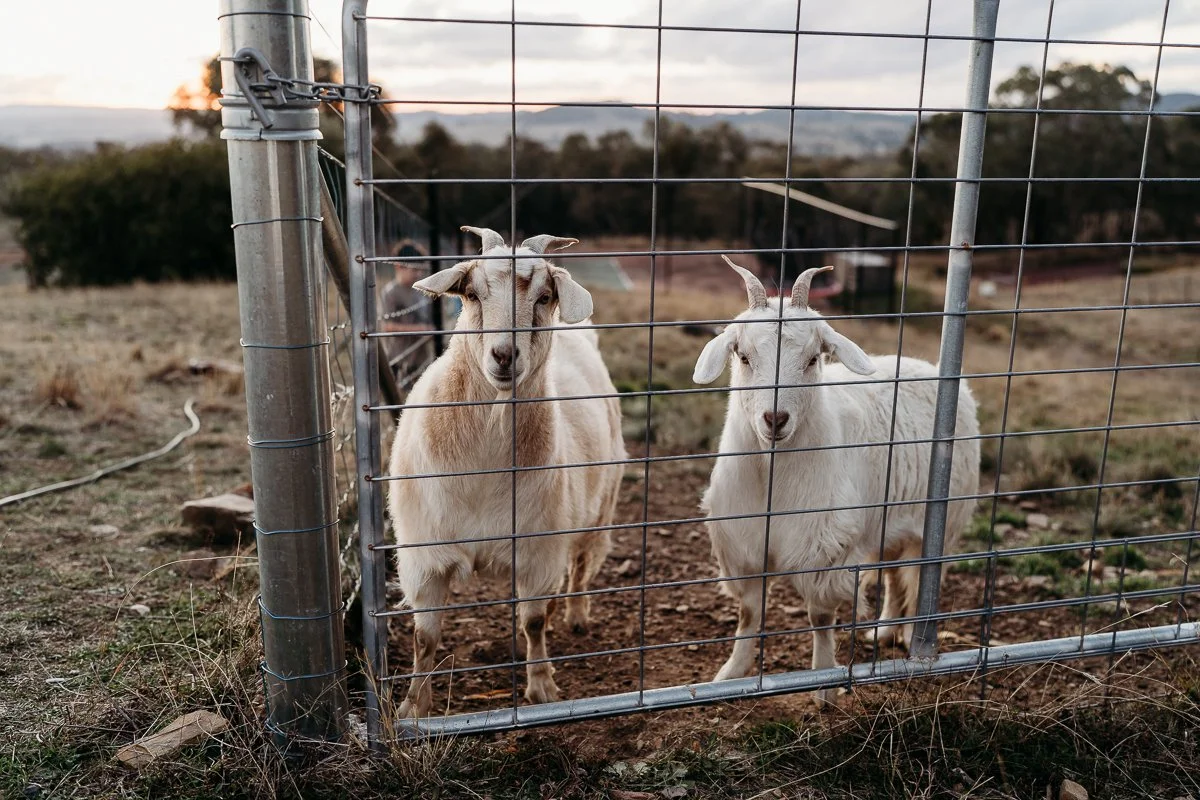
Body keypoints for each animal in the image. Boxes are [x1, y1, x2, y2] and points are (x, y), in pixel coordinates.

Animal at [387, 226, 625, 718]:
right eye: (472, 294)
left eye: (545, 297)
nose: (503, 355)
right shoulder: (424, 557)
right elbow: (424, 638)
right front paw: (413, 709)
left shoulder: (537, 550)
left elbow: (532, 623)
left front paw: (542, 687)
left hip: (598, 508)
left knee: (580, 565)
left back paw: (575, 615)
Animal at [692, 257, 979, 704]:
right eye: (742, 356)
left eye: (814, 359)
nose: (775, 419)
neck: (773, 477)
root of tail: (928, 367)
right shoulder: (743, 546)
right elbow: (749, 613)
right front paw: (730, 674)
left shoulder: (823, 550)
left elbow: (820, 617)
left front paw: (823, 684)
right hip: (888, 521)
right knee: (894, 573)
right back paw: (886, 629)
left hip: (943, 522)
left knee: (919, 578)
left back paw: (911, 636)